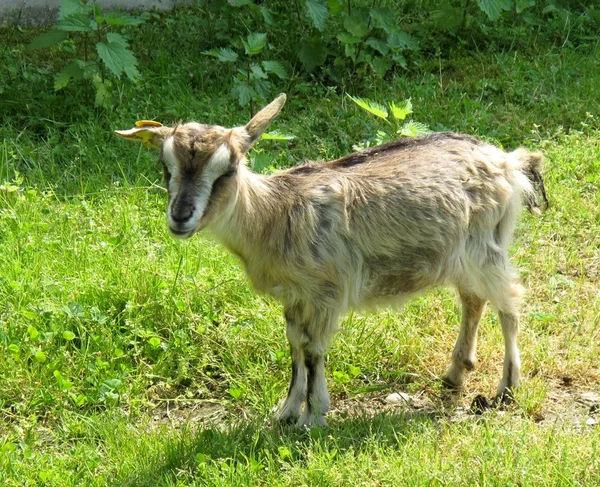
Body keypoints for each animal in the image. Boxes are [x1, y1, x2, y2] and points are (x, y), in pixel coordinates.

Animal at [116, 94, 548, 428]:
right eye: (166, 167)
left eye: (229, 170)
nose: (181, 216)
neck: (274, 215)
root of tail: (508, 161)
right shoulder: (294, 296)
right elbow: (293, 345)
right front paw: (287, 411)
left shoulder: (325, 291)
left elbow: (312, 350)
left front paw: (314, 415)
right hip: (459, 255)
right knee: (473, 299)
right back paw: (456, 373)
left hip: (485, 247)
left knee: (509, 301)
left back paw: (507, 388)